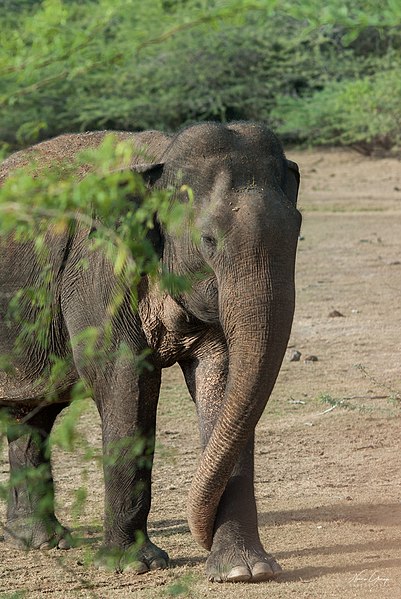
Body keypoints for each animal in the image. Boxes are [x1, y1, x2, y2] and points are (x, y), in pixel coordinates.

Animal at [0, 122, 300, 580]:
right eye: (208, 239)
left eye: (298, 229)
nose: (200, 534)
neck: (161, 158)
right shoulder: (95, 270)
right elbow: (123, 378)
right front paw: (134, 566)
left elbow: (222, 378)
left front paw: (245, 570)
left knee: (32, 415)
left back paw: (42, 541)